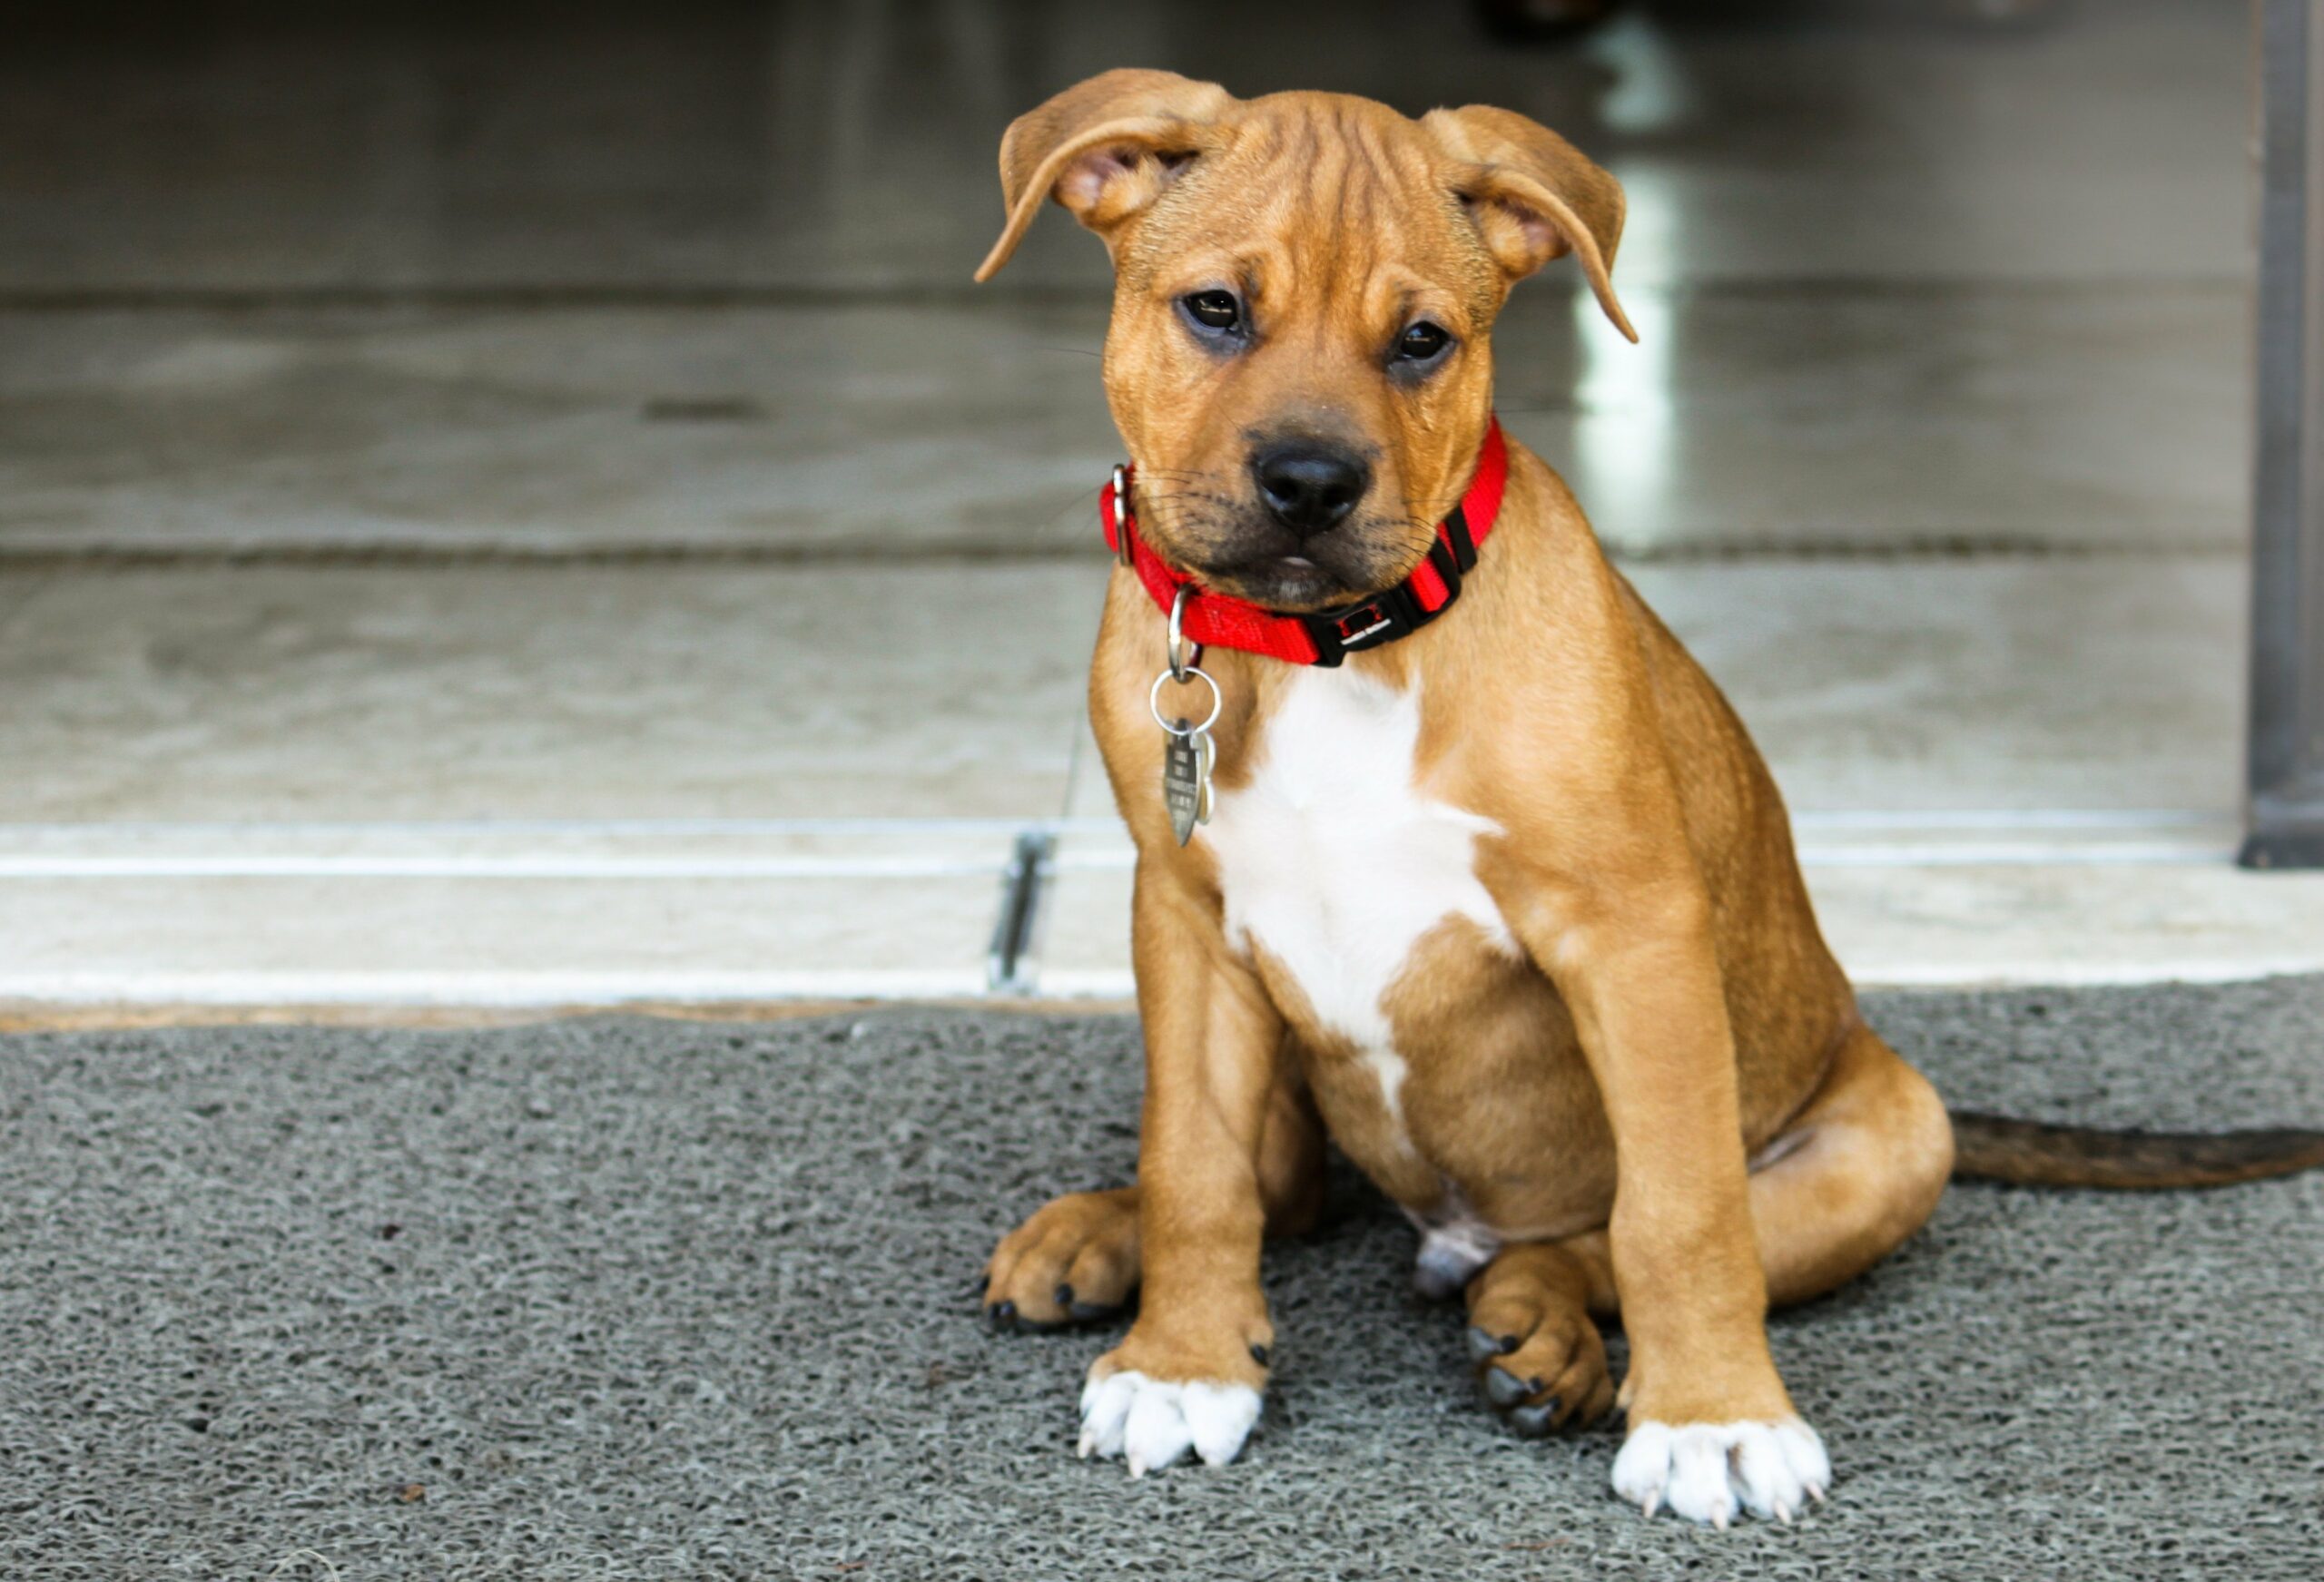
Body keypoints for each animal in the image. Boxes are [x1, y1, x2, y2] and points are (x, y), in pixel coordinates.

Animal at [966, 67, 2324, 1524]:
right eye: (1216, 309)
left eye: (1423, 342)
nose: (1312, 483)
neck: (1329, 649)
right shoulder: (1186, 919)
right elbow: (1196, 1165)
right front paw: (1184, 1363)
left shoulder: (1634, 935)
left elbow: (1678, 1210)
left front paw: (1714, 1418)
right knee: (1289, 1180)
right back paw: (1096, 1234)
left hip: (1891, 1137)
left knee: (1592, 1242)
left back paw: (1543, 1333)